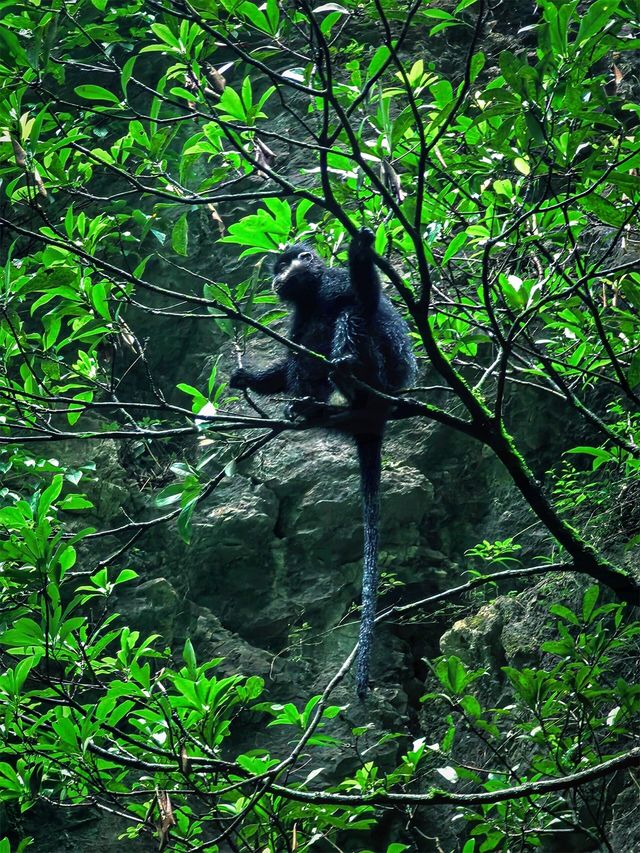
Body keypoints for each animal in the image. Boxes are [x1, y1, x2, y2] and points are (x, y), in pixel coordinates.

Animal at [230, 228, 416, 700]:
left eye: (285, 265)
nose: (276, 279)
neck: (311, 294)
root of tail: (372, 419)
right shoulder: (300, 313)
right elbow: (296, 350)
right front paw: (249, 379)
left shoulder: (332, 283)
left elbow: (364, 299)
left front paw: (360, 248)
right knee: (309, 350)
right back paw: (310, 409)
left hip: (385, 373)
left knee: (352, 318)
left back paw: (346, 372)